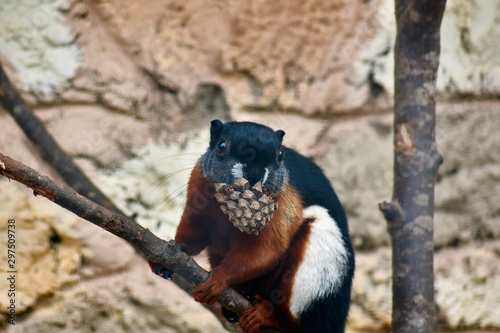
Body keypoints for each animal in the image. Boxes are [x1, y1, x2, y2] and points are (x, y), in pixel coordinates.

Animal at [154, 120, 354, 332]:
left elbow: (263, 252)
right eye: (221, 146)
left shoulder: (282, 211)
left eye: (280, 154)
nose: (255, 174)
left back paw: (266, 316)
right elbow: (194, 235)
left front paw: (218, 279)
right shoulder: (198, 189)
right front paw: (172, 251)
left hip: (317, 271)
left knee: (294, 318)